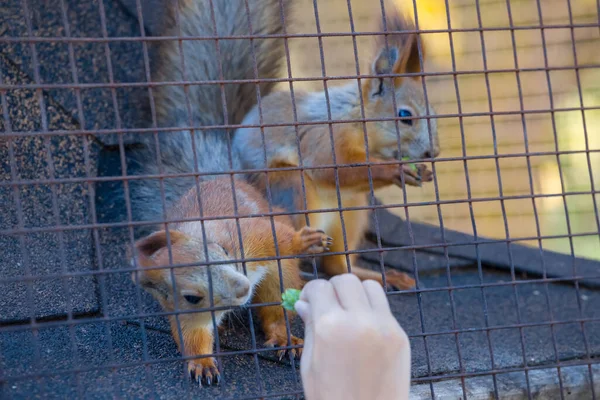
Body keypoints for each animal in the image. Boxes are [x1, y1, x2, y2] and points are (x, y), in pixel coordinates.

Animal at [130, 178, 332, 384]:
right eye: (192, 298)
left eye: (222, 250)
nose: (243, 288)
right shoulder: (186, 312)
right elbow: (193, 334)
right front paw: (202, 363)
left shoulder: (247, 236)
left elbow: (276, 235)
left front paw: (304, 241)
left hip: (282, 274)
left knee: (276, 311)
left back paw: (283, 336)